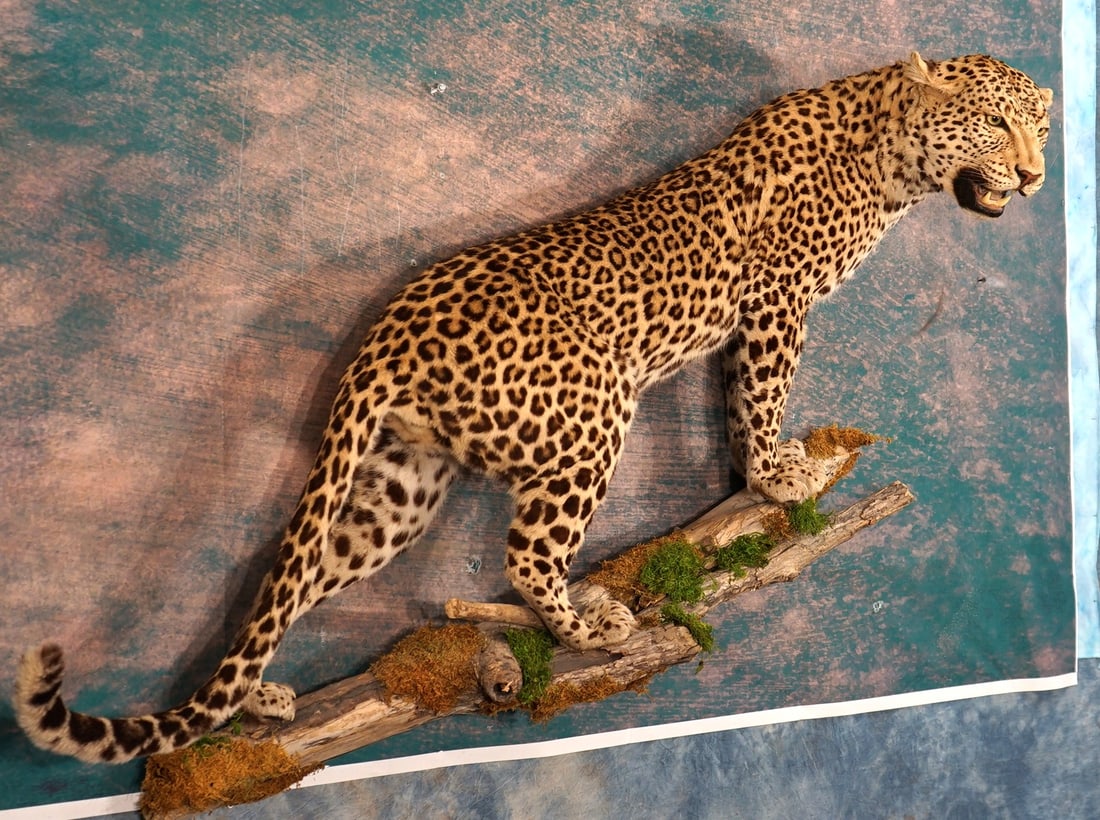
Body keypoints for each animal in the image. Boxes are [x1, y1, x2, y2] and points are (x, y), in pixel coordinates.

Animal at [15, 52, 1051, 763]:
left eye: (1043, 124)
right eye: (998, 126)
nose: (1040, 176)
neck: (890, 155)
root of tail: (386, 331)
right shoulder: (776, 308)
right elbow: (760, 398)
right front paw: (776, 475)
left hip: (402, 485)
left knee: (299, 575)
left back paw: (255, 702)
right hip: (593, 420)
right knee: (522, 555)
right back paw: (587, 626)